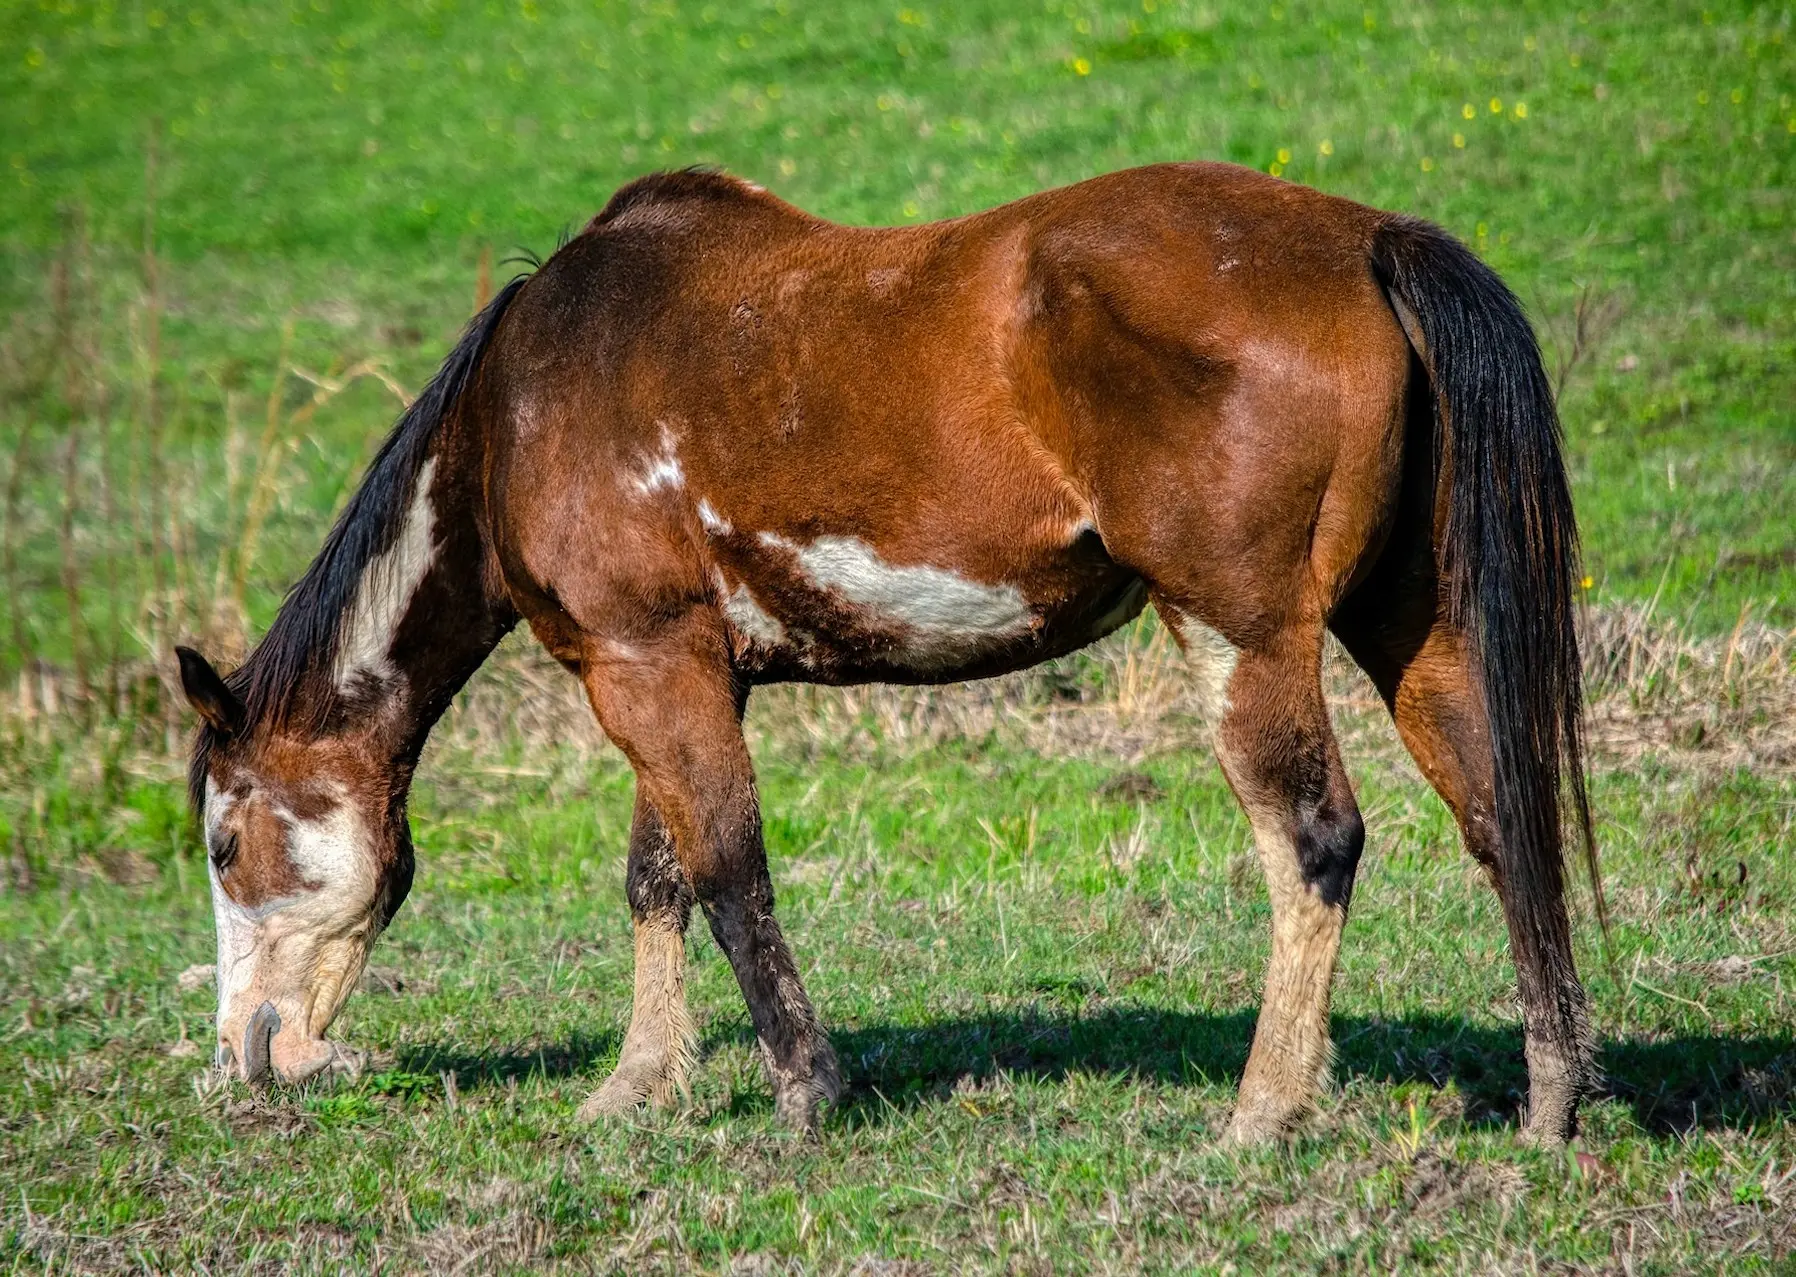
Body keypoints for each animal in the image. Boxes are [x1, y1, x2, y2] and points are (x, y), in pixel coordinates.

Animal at [178, 165, 1602, 1142]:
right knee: (1499, 812)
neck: (518, 410)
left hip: (1241, 632)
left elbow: (727, 870)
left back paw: (1260, 1109)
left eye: (225, 843)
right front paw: (637, 1086)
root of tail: (1364, 241)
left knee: (1312, 839)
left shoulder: (647, 668)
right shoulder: (670, 670)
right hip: (1407, 625)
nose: (246, 1054)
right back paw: (1548, 1103)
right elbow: (657, 878)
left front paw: (803, 1092)